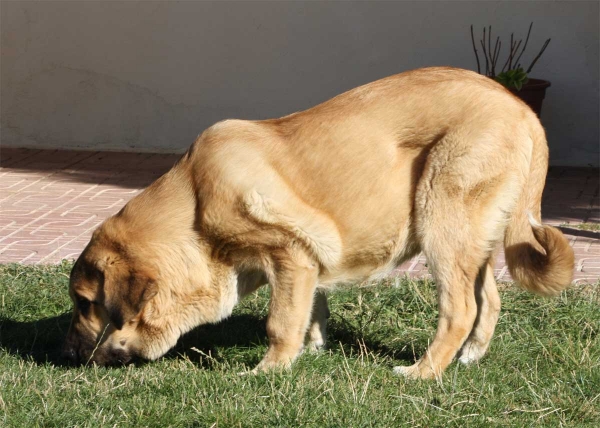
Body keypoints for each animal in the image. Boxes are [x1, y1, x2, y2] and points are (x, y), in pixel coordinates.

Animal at [63, 67, 576, 378]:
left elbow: (280, 322)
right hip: (473, 239)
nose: (64, 353)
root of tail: (522, 107)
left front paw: (268, 371)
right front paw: (311, 352)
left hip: (442, 223)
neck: (193, 206)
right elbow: (310, 312)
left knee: (460, 310)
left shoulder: (288, 255)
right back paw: (470, 356)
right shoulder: (306, 265)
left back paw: (422, 373)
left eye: (85, 303)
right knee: (489, 300)